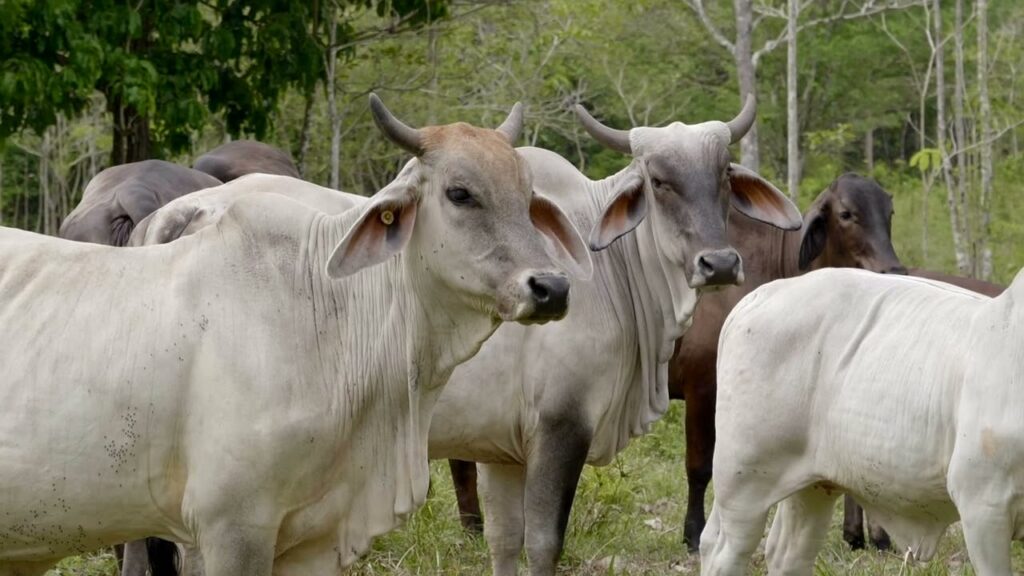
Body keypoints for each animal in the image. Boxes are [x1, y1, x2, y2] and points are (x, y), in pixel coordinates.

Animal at [425, 98, 806, 573]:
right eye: (659, 182)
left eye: (723, 175)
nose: (718, 264)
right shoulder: (562, 425)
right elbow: (544, 542)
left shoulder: (502, 445)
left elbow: (505, 539)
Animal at [448, 170, 905, 537]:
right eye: (846, 214)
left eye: (890, 211)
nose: (893, 269)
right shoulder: (705, 387)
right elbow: (700, 466)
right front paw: (693, 531)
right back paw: (473, 526)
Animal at [704, 266, 1024, 573]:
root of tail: (763, 293)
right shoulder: (983, 503)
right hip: (743, 479)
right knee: (724, 554)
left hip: (812, 485)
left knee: (787, 554)